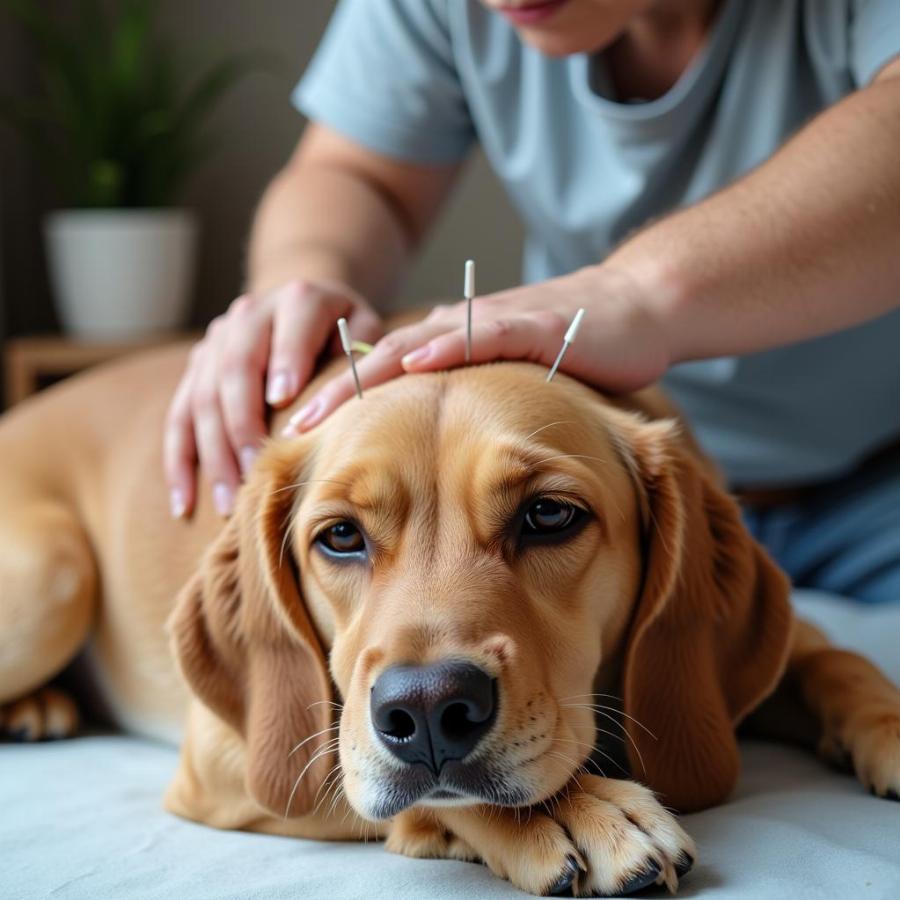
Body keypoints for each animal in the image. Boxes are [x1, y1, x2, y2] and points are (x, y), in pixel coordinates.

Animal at [1, 342, 900, 896]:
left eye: (548, 516)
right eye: (340, 537)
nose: (428, 712)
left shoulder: (770, 655)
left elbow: (843, 663)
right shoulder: (240, 756)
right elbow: (404, 789)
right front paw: (576, 809)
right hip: (55, 571)